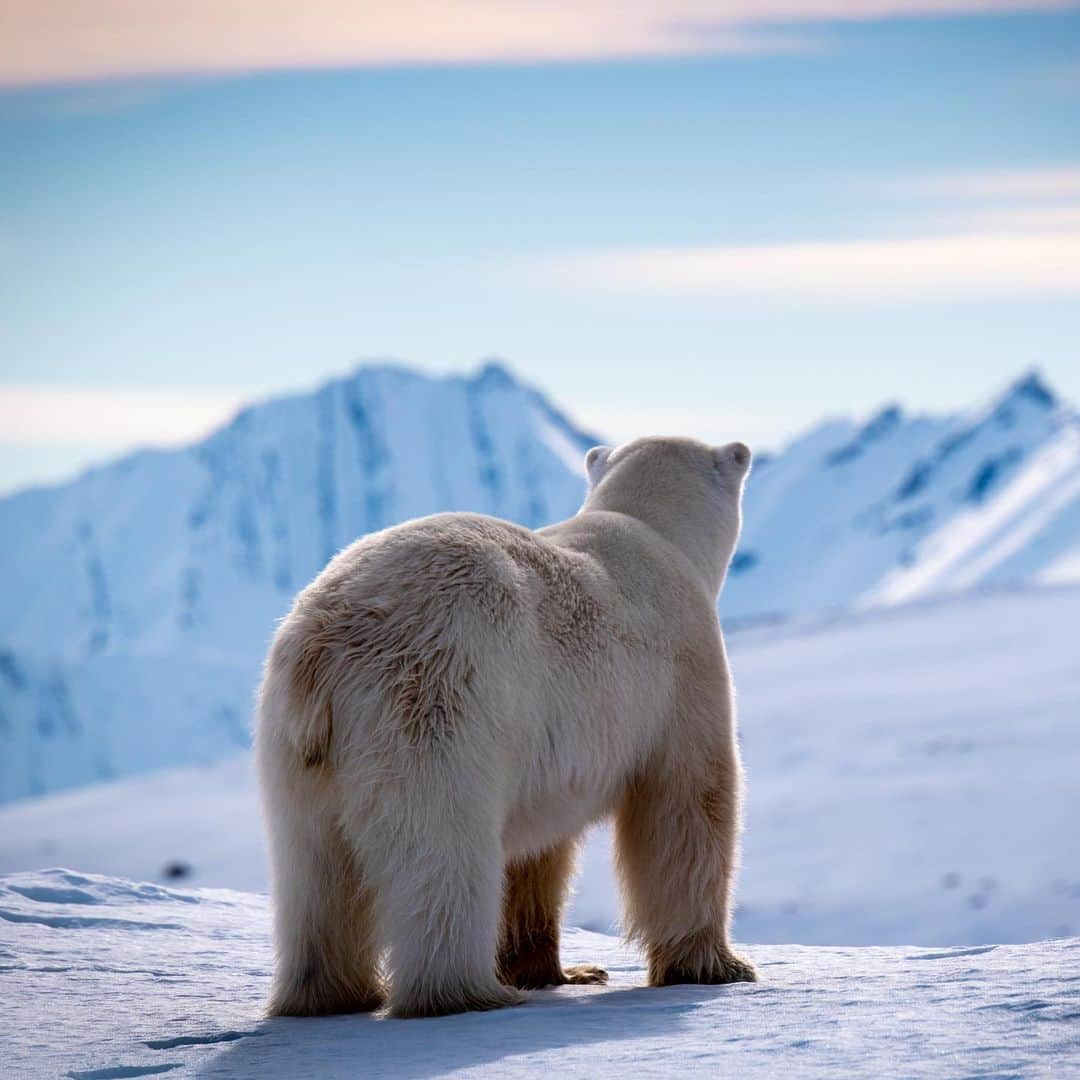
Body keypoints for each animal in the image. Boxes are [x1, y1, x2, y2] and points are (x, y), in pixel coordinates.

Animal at [254, 434, 760, 1015]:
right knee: (443, 849)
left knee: (313, 870)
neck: (652, 529)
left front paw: (564, 971)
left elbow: (538, 850)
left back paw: (331, 993)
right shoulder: (683, 670)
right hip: (438, 698)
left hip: (294, 743)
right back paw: (465, 992)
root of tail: (324, 644)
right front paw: (718, 967)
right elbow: (689, 804)